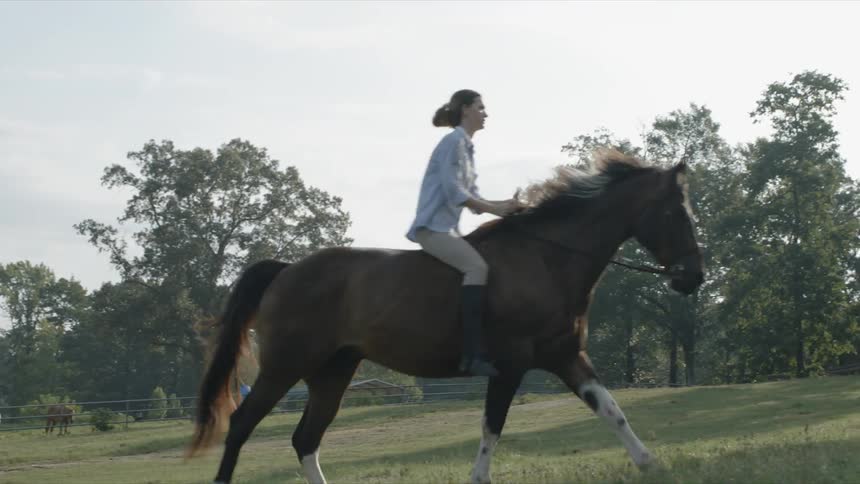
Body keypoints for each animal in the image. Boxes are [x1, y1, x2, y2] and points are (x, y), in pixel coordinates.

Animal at [187, 150, 705, 483]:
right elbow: (492, 426)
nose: (694, 278)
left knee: (305, 439)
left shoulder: (567, 357)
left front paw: (650, 463)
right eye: (678, 214)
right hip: (284, 367)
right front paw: (478, 479)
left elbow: (611, 410)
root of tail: (287, 269)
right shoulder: (509, 365)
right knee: (242, 425)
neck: (546, 259)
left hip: (333, 372)